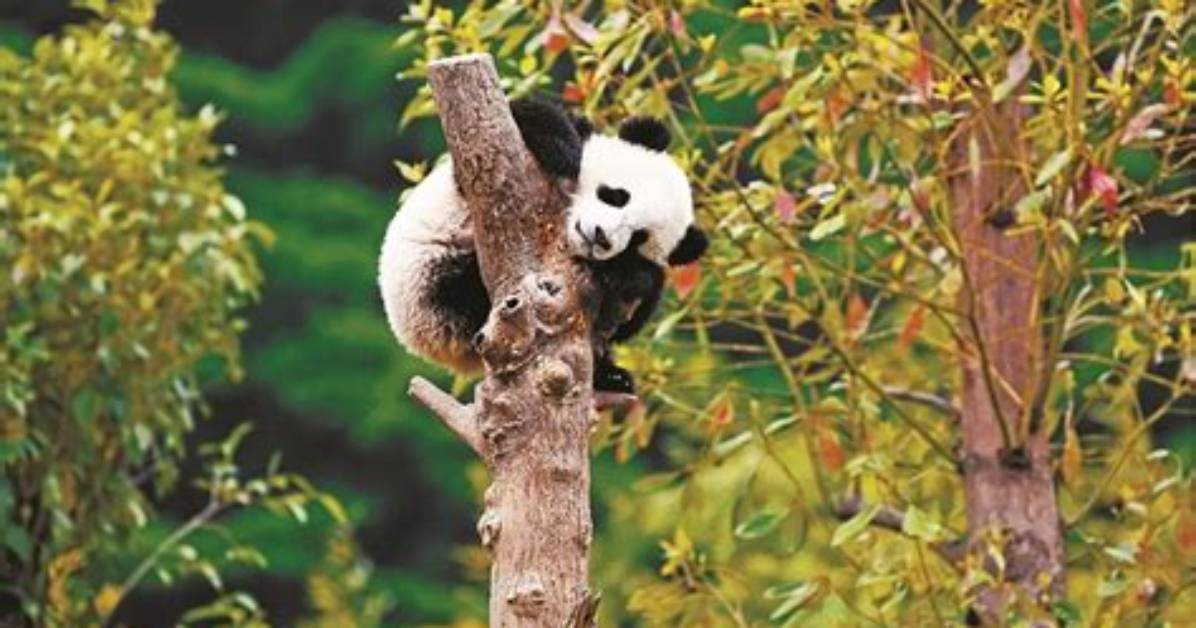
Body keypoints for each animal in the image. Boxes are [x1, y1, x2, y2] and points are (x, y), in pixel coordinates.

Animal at [378, 98, 707, 393]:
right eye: (616, 196)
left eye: (639, 236)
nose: (600, 236)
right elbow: (517, 121)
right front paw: (565, 151)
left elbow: (642, 291)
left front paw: (626, 272)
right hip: (435, 281)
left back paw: (613, 377)